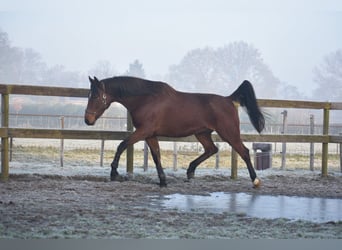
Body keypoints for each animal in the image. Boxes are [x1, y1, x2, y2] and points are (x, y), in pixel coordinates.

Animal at [85, 76, 264, 188]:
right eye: (89, 95)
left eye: (96, 96)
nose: (88, 119)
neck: (146, 99)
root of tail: (228, 99)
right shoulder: (150, 135)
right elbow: (156, 155)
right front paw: (163, 181)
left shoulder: (143, 131)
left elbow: (122, 145)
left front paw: (114, 173)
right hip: (202, 133)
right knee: (212, 149)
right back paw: (190, 171)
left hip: (229, 133)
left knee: (244, 151)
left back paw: (255, 180)